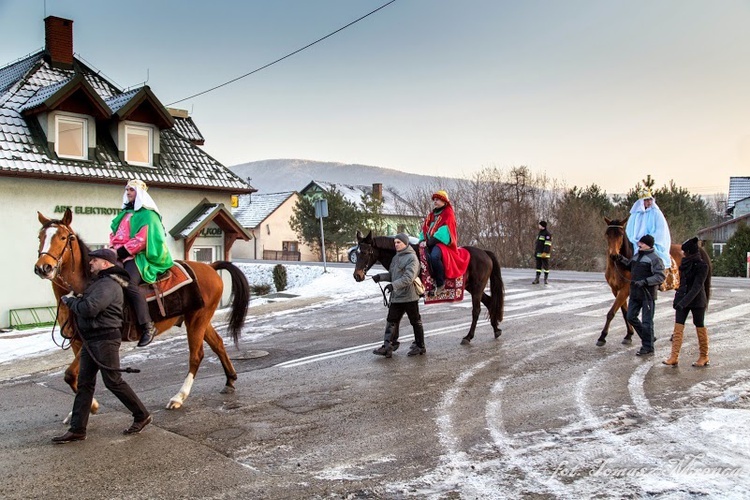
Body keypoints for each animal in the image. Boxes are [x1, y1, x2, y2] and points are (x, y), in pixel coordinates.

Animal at [35, 209, 251, 408]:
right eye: (40, 237)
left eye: (63, 237)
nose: (43, 267)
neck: (86, 285)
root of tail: (210, 267)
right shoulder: (78, 342)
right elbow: (76, 376)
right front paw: (88, 407)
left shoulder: (96, 340)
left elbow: (70, 374)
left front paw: (93, 406)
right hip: (199, 319)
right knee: (218, 344)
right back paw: (230, 380)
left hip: (197, 320)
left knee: (196, 355)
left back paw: (179, 397)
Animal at [352, 230, 506, 344]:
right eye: (357, 253)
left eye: (365, 252)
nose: (357, 276)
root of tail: (484, 252)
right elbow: (398, 314)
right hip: (473, 288)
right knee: (489, 302)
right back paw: (496, 329)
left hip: (477, 288)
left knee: (476, 310)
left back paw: (468, 337)